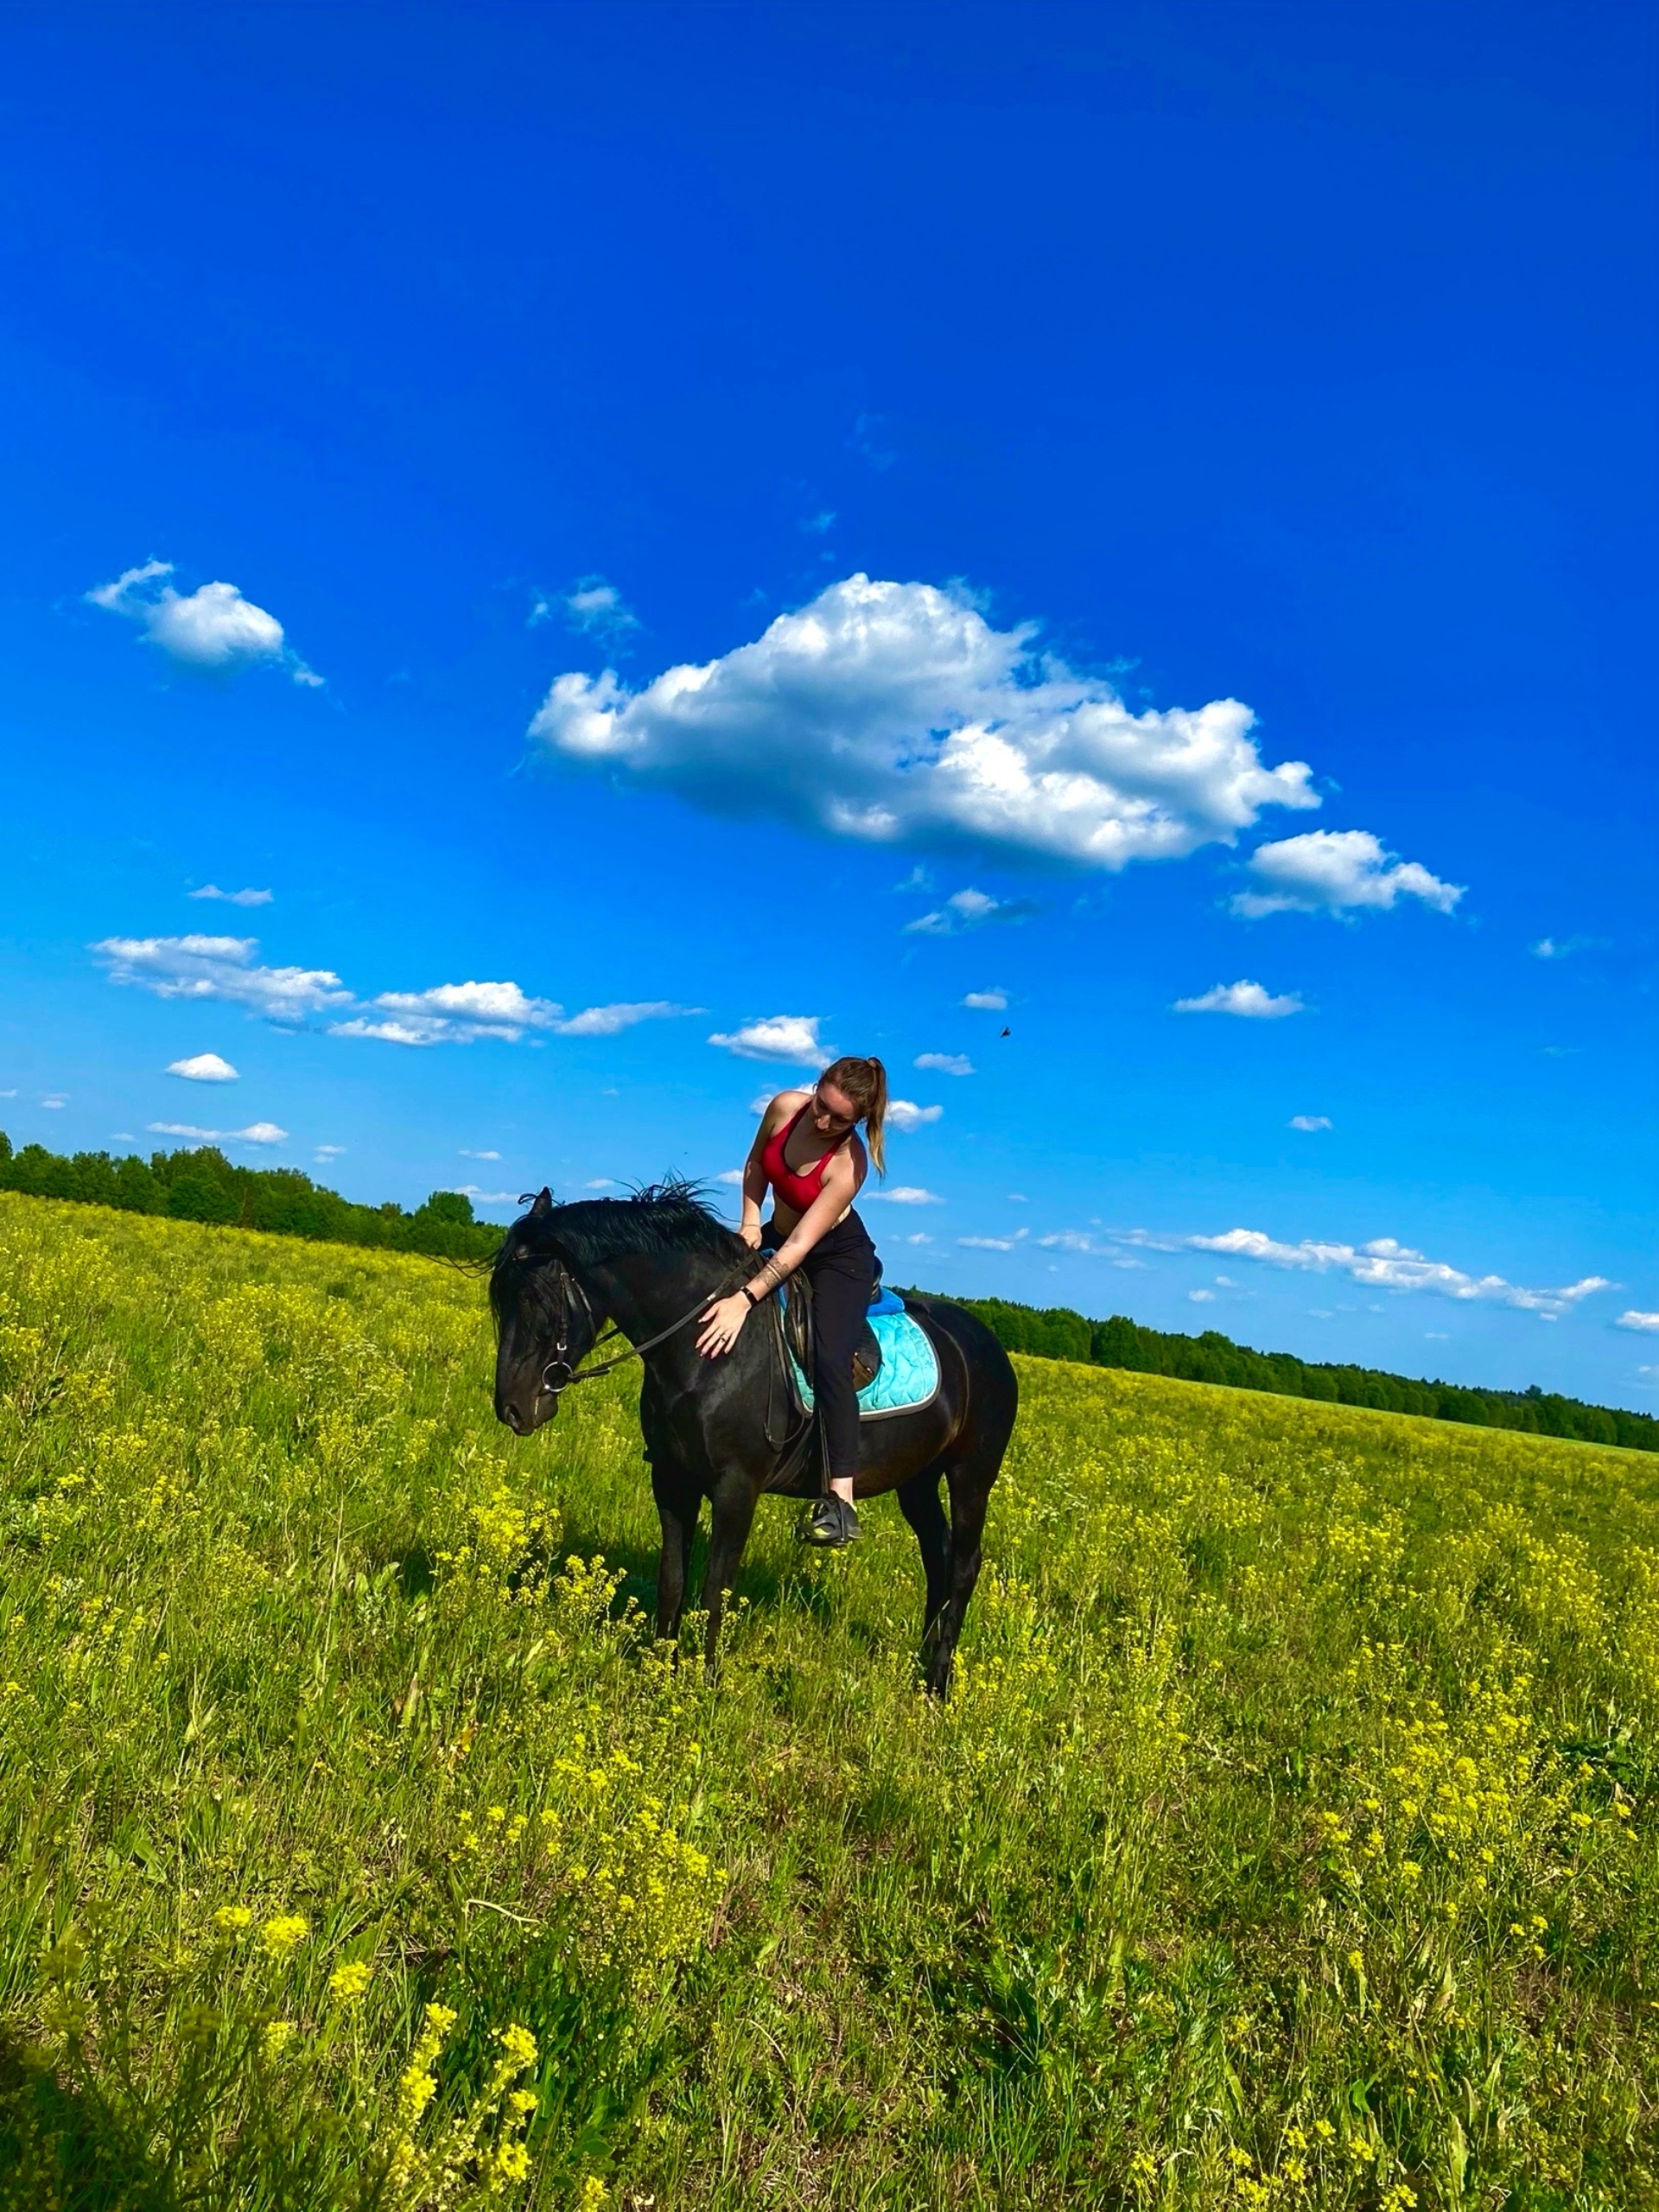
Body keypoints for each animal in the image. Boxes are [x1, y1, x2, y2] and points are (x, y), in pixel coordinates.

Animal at [486, 1194, 1021, 1689]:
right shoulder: (672, 1480)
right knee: (937, 1556)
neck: (706, 1348)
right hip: (917, 1480)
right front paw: (661, 1676)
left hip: (971, 1476)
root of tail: (986, 1344)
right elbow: (672, 1581)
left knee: (963, 1565)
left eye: (536, 1300)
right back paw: (920, 1666)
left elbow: (713, 1592)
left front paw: (702, 1687)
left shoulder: (736, 1489)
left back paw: (937, 1684)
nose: (511, 1408)